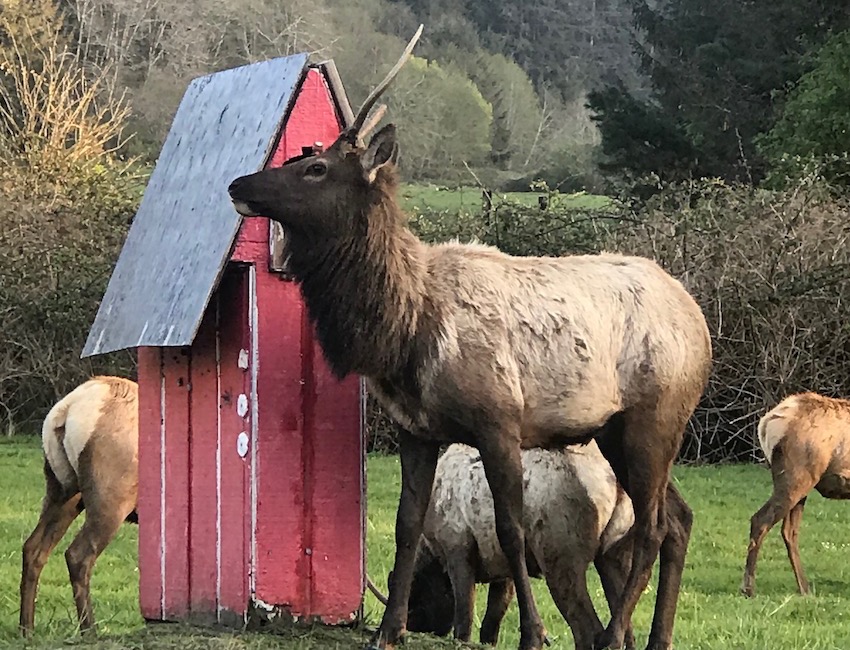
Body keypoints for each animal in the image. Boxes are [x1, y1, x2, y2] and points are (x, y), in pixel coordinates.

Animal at [19, 374, 137, 632]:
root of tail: (64, 410)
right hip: (110, 500)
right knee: (78, 555)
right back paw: (90, 630)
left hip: (62, 491)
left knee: (33, 548)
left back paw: (26, 630)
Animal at [400, 440, 632, 648]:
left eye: (415, 605)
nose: (413, 630)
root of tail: (615, 486)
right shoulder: (503, 570)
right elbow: (490, 626)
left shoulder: (457, 547)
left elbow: (464, 622)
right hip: (614, 555)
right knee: (623, 626)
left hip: (560, 558)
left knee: (588, 630)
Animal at [740, 390, 848, 596]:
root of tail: (766, 422)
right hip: (797, 477)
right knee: (760, 520)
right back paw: (748, 589)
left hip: (798, 485)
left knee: (789, 530)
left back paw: (804, 588)